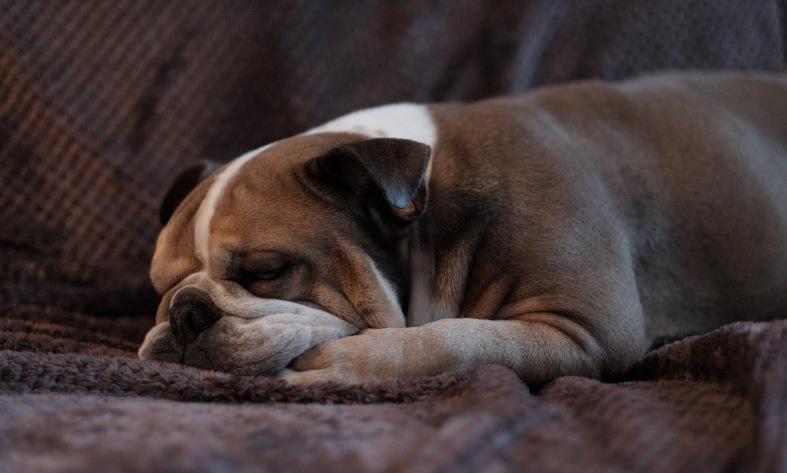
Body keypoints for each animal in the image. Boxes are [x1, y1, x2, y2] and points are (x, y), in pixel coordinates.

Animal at [140, 72, 787, 386]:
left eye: (267, 272)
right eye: (159, 288)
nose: (185, 310)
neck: (430, 211)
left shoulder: (587, 331)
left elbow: (455, 340)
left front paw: (344, 362)